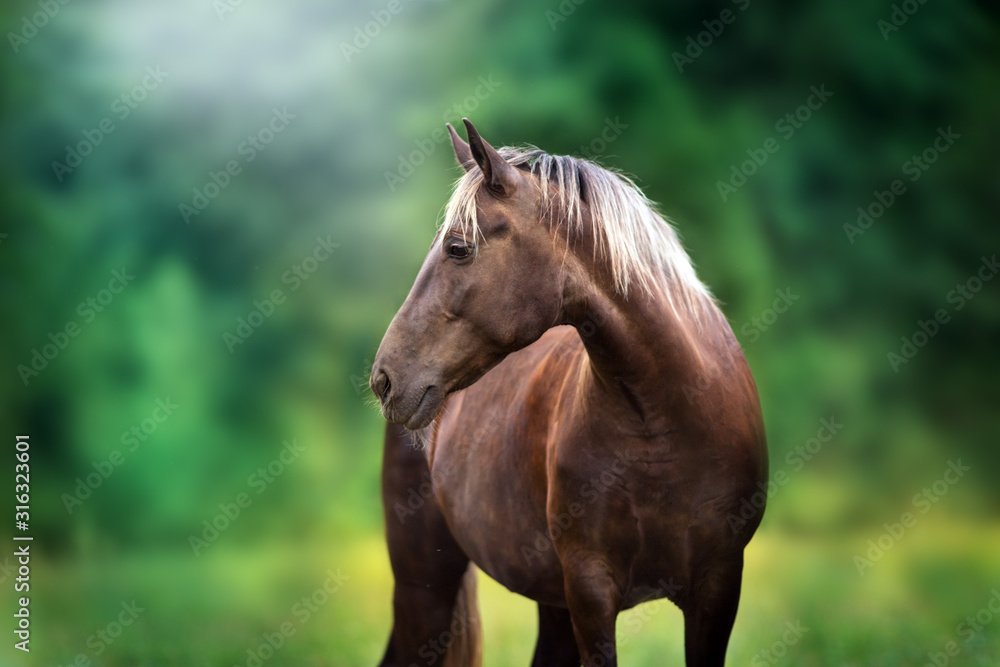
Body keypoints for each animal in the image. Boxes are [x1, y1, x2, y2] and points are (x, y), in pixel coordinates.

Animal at [370, 119, 768, 667]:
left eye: (458, 247)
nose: (384, 379)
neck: (664, 420)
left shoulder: (718, 586)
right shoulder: (590, 590)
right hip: (424, 588)